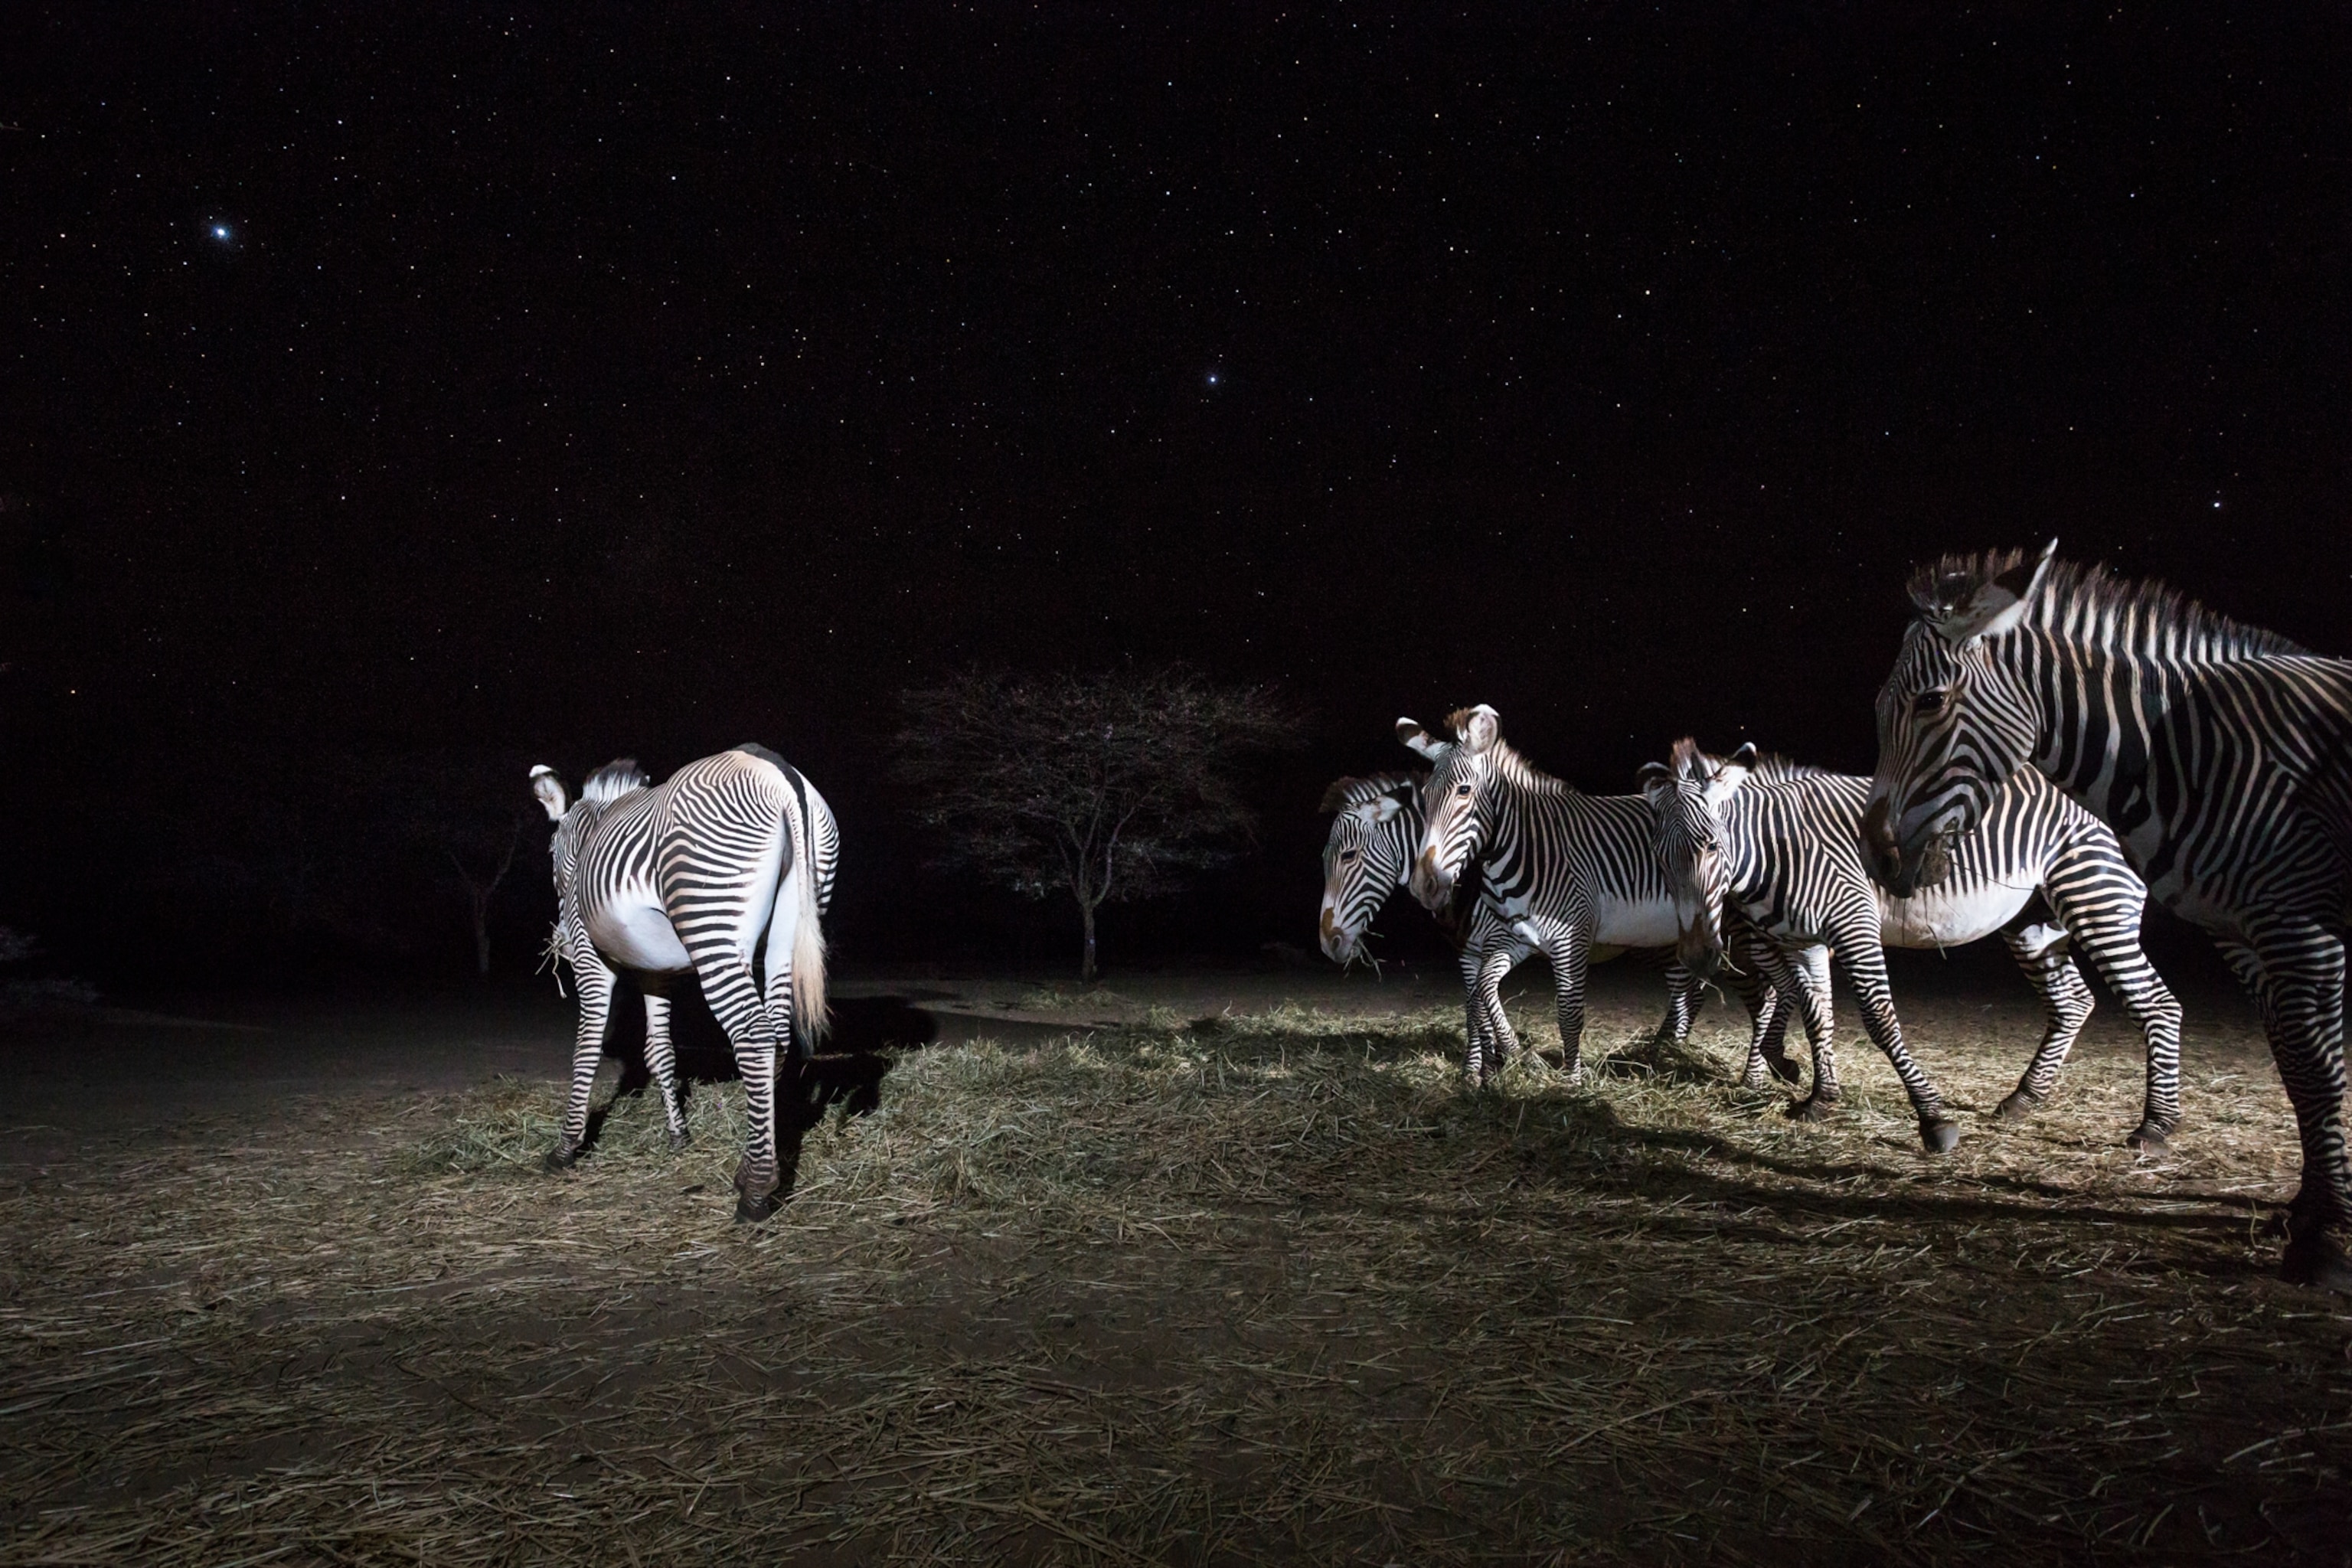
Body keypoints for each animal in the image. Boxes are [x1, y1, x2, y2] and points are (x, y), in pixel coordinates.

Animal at [530, 744, 832, 1222]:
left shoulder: (592, 957)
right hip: (793, 923)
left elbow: (585, 1048)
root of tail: (778, 772)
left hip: (712, 918)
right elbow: (660, 1051)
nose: (559, 943)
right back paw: (757, 1163)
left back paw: (755, 1192)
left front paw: (565, 1148)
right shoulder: (655, 973)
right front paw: (678, 1135)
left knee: (756, 1037)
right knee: (779, 1041)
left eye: (549, 851)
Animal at [1398, 707, 1808, 1084]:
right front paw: (1510, 1057)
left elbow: (1568, 1013)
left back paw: (1753, 1078)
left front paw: (1572, 1083)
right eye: (1425, 798)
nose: (1425, 885)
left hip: (1741, 933)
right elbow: (1482, 992)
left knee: (1765, 995)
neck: (1529, 848)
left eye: (1464, 791)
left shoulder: (1570, 938)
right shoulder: (1516, 938)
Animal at [1640, 736, 2184, 1150]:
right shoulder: (1803, 941)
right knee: (2072, 1003)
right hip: (2034, 922)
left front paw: (1934, 1120)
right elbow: (1818, 1017)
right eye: (1659, 858)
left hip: (2095, 896)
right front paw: (1821, 1099)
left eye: (1712, 846)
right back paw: (2023, 1101)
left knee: (2158, 1004)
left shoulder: (1853, 922)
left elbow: (1880, 1020)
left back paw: (2155, 1126)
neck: (1778, 848)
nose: (1698, 955)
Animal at [1864, 541, 2352, 1289]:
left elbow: (2319, 1069)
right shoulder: (2243, 929)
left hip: (2096, 899)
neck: (2186, 751)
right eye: (1882, 705)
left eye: (1930, 702)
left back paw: (2153, 1126)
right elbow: (2297, 1067)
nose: (1877, 860)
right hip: (2045, 917)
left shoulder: (2301, 923)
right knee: (2079, 999)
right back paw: (2035, 1102)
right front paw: (2304, 1211)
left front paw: (2323, 1235)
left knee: (2154, 1002)